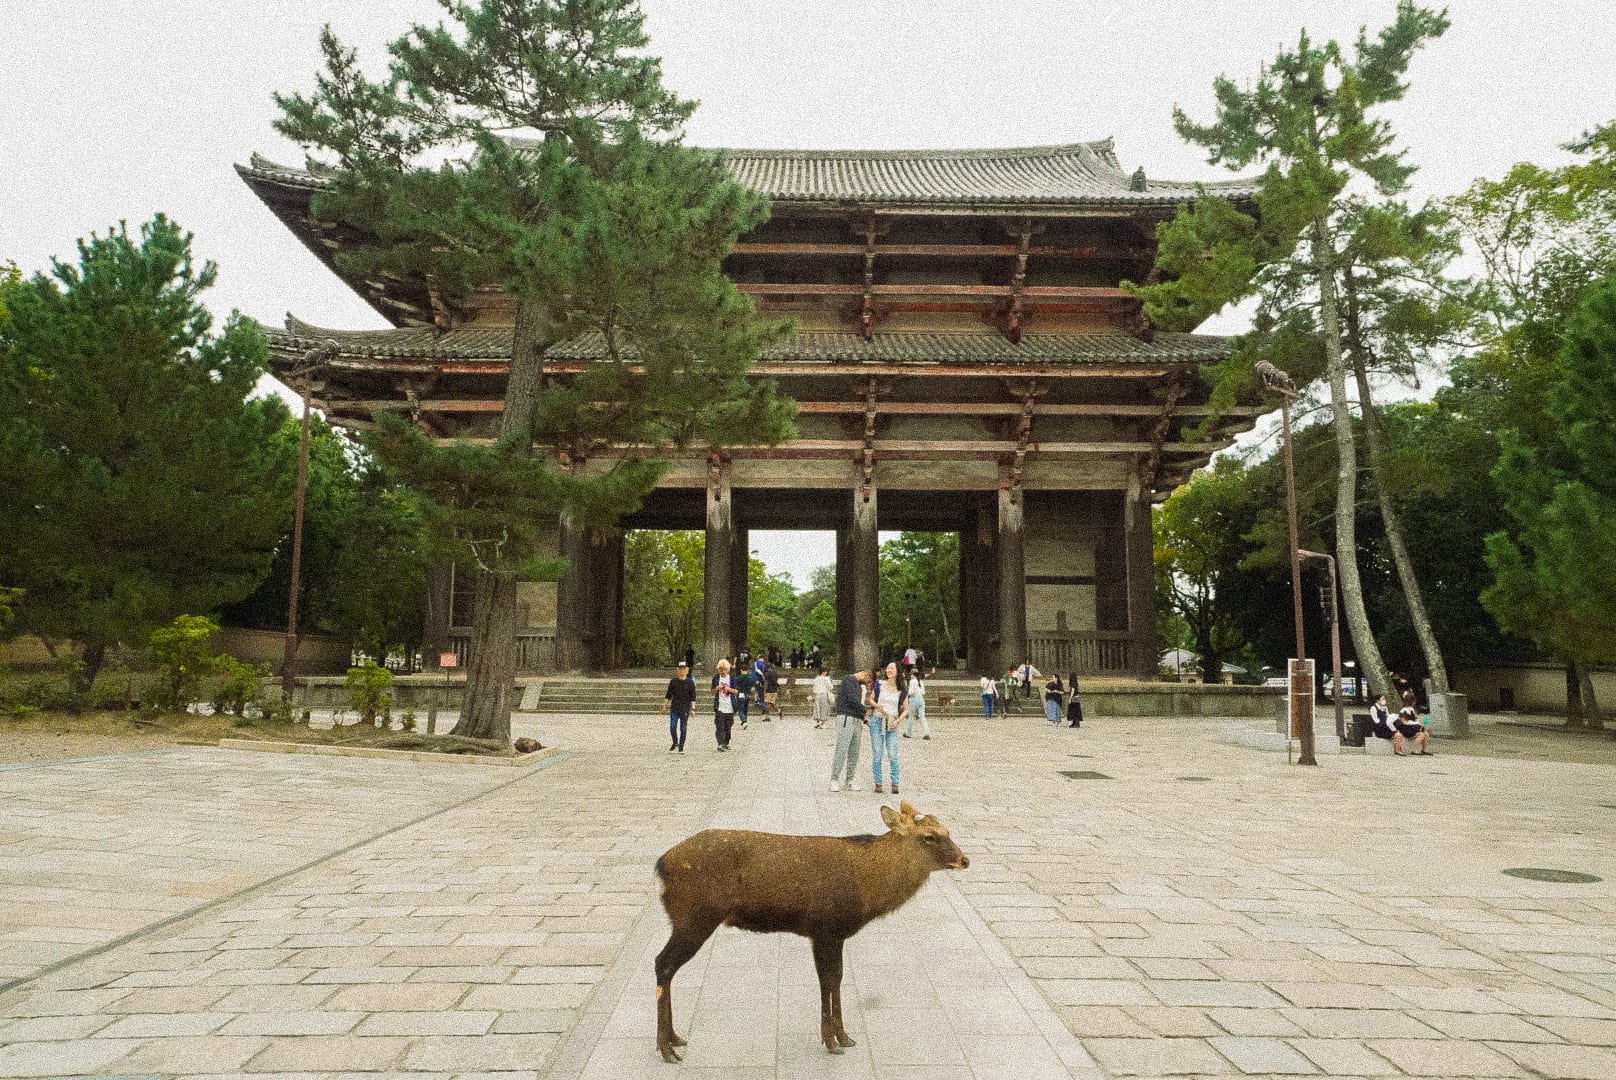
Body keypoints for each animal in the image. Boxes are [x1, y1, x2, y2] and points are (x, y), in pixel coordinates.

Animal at [652, 801, 968, 1062]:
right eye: (929, 836)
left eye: (947, 830)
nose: (965, 860)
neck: (867, 889)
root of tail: (660, 865)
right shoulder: (825, 928)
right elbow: (826, 980)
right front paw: (831, 1042)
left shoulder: (834, 934)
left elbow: (837, 978)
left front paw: (845, 1036)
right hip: (695, 917)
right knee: (663, 963)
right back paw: (666, 1048)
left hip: (687, 919)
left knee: (666, 966)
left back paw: (675, 1039)